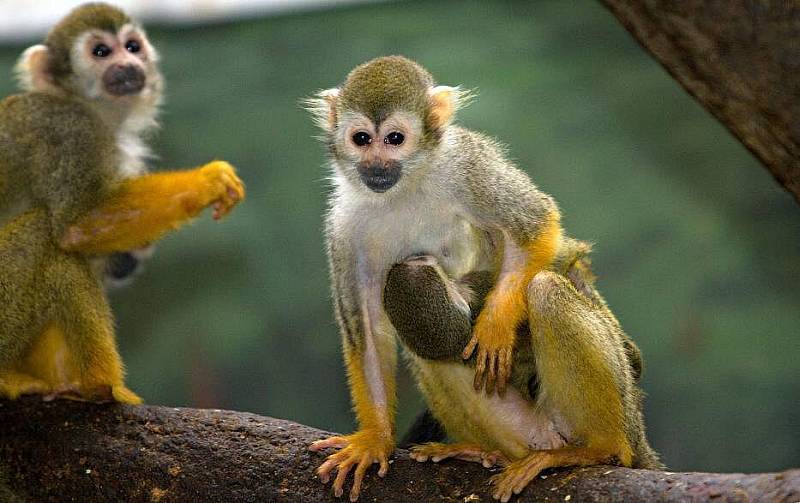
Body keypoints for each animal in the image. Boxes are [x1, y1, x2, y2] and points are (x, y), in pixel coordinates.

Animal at [0, 2, 244, 406]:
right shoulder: (69, 133)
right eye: (101, 52)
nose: (129, 64)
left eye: (132, 47)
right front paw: (206, 181)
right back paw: (98, 384)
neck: (88, 107)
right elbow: (76, 226)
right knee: (43, 235)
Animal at [306, 57, 656, 502]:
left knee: (546, 288)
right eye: (362, 139)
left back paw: (599, 449)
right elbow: (366, 330)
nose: (376, 166)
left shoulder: (466, 165)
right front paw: (374, 440)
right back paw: (488, 452)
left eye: (395, 139)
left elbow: (536, 225)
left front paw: (494, 328)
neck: (404, 189)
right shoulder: (343, 226)